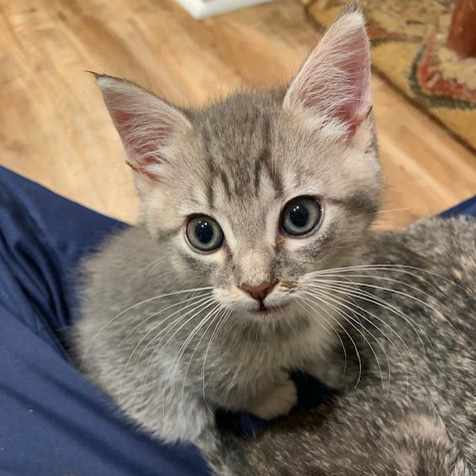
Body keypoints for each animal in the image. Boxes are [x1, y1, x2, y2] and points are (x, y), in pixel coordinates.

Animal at [74, 5, 380, 444]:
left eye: (300, 216)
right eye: (203, 233)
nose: (257, 287)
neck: (286, 326)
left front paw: (329, 365)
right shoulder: (176, 351)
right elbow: (225, 387)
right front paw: (270, 397)